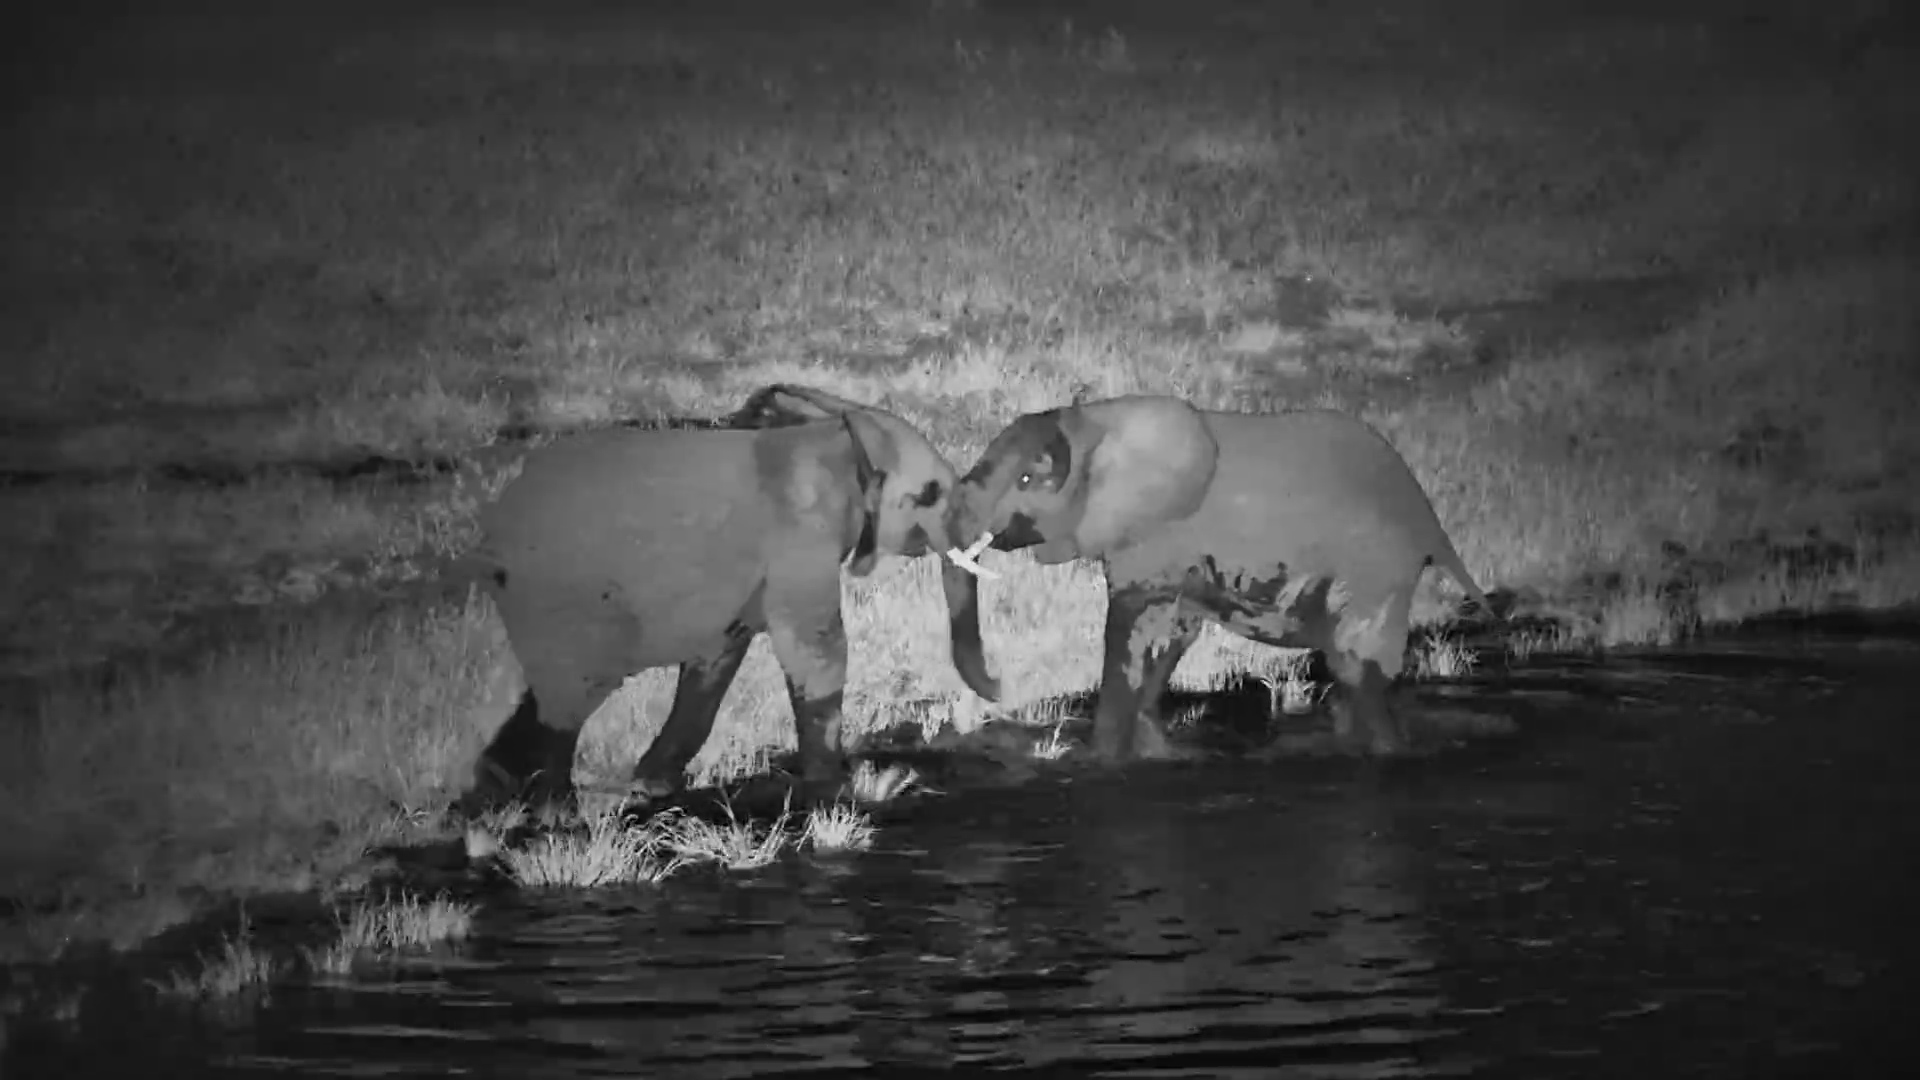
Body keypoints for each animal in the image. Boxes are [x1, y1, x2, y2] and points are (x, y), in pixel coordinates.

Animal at [459, 384, 965, 814]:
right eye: (932, 493)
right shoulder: (800, 531)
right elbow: (814, 648)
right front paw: (841, 796)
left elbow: (720, 653)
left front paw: (652, 786)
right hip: (566, 584)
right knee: (579, 680)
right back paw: (555, 810)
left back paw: (498, 787)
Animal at [939, 395, 1489, 761]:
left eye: (1026, 480)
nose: (997, 689)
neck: (1097, 423)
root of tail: (1430, 522)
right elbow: (1169, 634)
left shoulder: (1155, 534)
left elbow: (1126, 629)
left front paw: (1099, 762)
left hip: (1375, 567)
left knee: (1357, 665)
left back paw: (1387, 750)